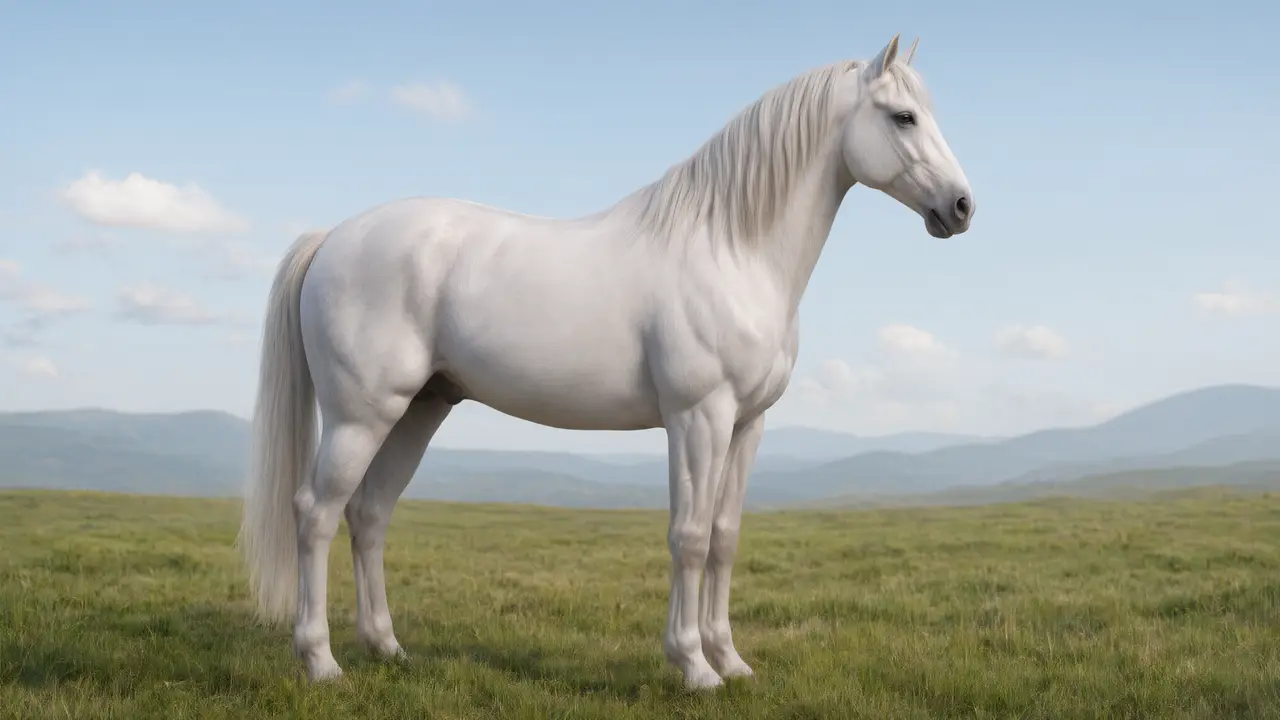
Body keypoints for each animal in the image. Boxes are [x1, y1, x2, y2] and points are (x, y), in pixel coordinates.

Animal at [238, 33, 975, 691]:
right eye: (902, 117)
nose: (962, 207)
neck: (733, 250)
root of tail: (334, 236)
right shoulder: (698, 417)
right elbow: (690, 536)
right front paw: (694, 667)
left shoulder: (747, 425)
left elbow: (726, 536)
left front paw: (732, 661)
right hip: (360, 415)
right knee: (316, 513)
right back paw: (321, 662)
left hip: (419, 410)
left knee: (369, 515)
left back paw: (387, 648)